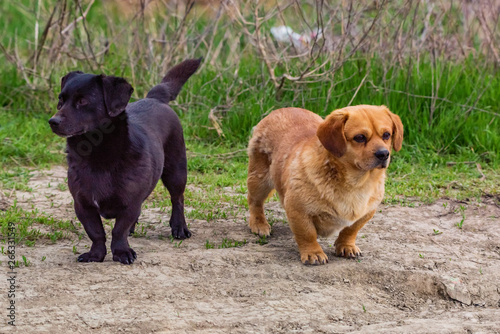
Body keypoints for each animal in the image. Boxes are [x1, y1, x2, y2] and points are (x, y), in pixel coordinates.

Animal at [48, 58, 201, 264]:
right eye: (60, 100)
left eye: (82, 101)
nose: (52, 121)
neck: (98, 155)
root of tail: (155, 98)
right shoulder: (82, 204)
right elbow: (96, 232)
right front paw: (95, 254)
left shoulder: (130, 202)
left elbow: (118, 230)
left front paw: (121, 252)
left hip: (176, 171)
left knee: (177, 199)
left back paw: (179, 227)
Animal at [248, 105, 404, 264]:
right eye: (360, 137)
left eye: (387, 135)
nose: (384, 154)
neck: (357, 183)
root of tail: (281, 109)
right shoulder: (297, 210)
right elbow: (307, 234)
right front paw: (313, 252)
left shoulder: (366, 213)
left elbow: (351, 230)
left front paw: (346, 246)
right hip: (259, 181)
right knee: (255, 203)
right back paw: (259, 225)